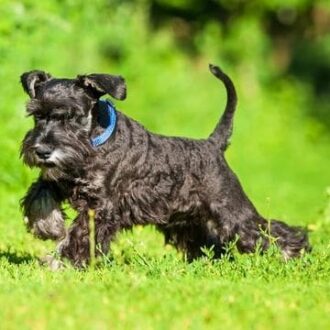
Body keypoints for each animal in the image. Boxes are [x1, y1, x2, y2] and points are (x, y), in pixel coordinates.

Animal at [20, 65, 310, 268]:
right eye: (37, 115)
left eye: (71, 117)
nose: (42, 150)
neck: (95, 141)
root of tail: (214, 145)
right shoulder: (60, 180)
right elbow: (39, 195)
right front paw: (48, 227)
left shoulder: (101, 207)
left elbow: (80, 236)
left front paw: (60, 263)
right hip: (188, 220)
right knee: (213, 244)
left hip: (232, 212)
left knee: (270, 232)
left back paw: (296, 255)